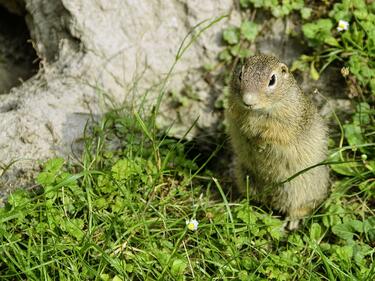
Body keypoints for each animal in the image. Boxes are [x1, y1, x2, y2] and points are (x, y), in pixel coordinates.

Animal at [226, 53, 328, 229]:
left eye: (272, 80)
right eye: (240, 74)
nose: (248, 100)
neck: (257, 111)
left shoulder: (286, 122)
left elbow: (274, 134)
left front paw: (259, 143)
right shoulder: (234, 110)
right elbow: (240, 124)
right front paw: (248, 136)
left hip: (302, 189)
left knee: (302, 207)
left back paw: (291, 222)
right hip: (244, 176)